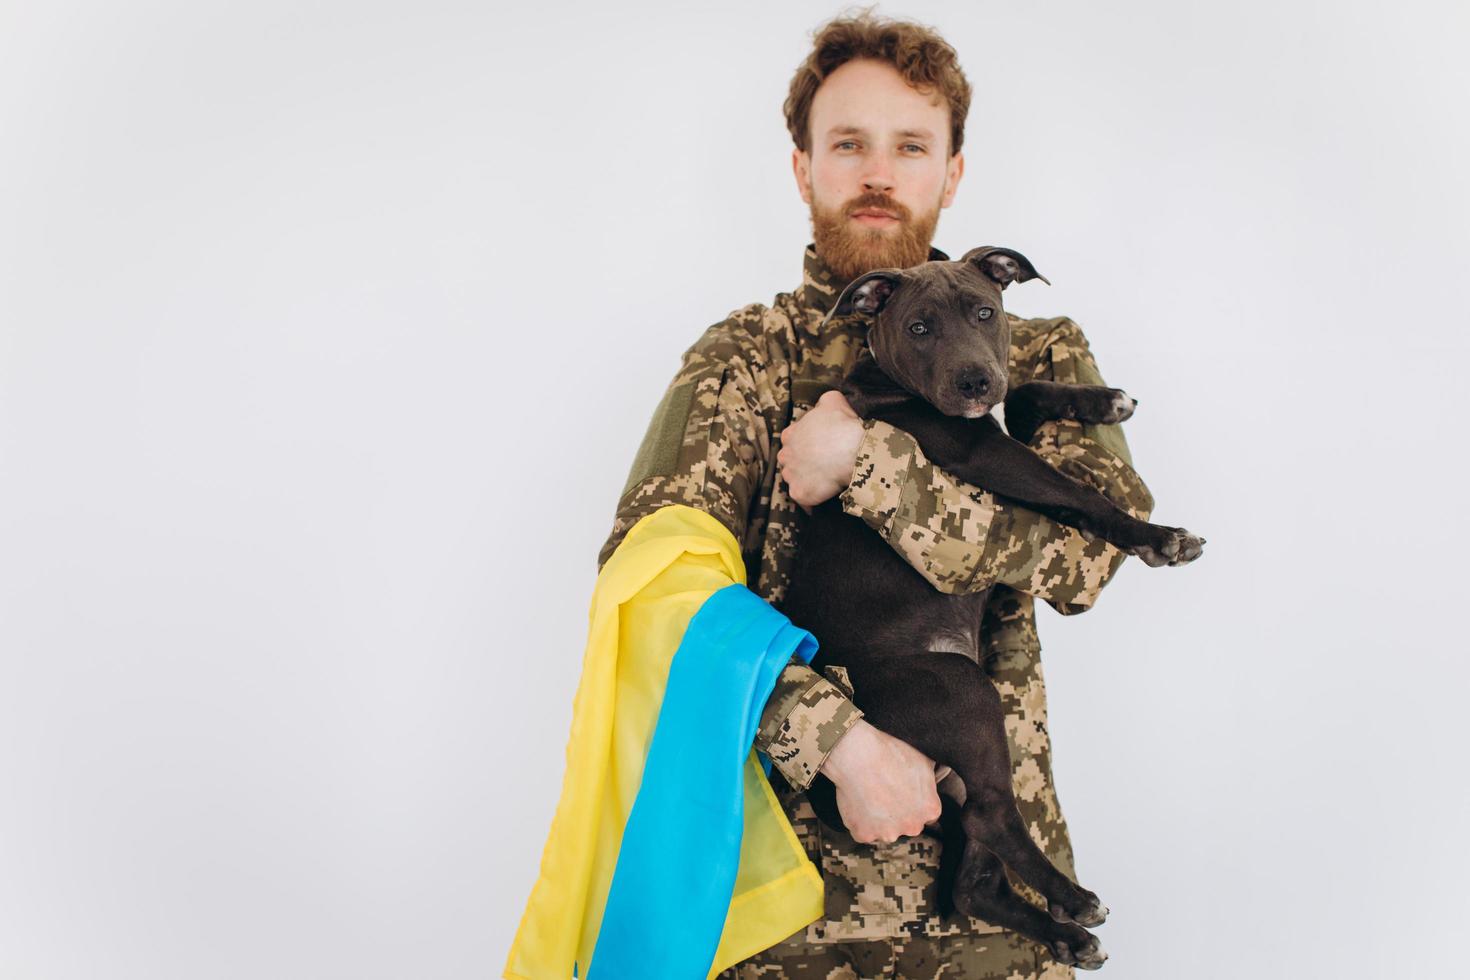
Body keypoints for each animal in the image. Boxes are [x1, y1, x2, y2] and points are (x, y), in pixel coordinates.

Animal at [782, 246, 1205, 975]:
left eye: (985, 312)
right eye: (919, 328)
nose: (976, 380)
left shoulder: (1000, 430)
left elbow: (1030, 396)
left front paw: (1102, 398)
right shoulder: (983, 454)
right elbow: (1075, 490)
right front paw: (1159, 538)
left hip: (967, 746)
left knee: (972, 882)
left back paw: (1067, 933)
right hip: (962, 691)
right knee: (991, 817)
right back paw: (1076, 901)